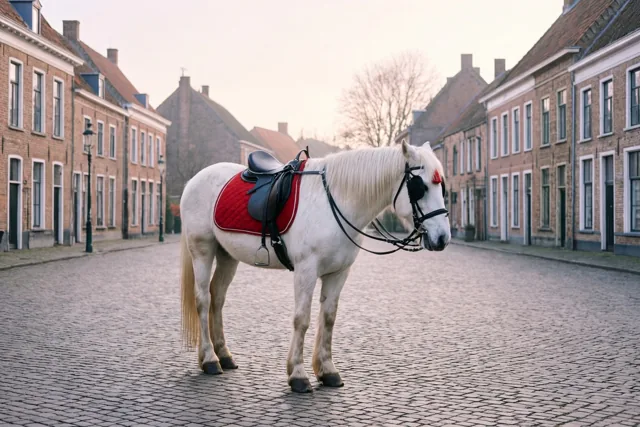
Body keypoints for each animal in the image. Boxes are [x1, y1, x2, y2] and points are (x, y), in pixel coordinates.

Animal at [179, 140, 451, 393]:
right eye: (420, 187)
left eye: (442, 186)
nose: (442, 238)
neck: (335, 201)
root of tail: (195, 179)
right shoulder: (305, 271)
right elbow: (302, 319)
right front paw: (298, 374)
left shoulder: (338, 273)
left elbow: (328, 318)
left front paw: (327, 370)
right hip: (203, 251)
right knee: (202, 299)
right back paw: (209, 359)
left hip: (227, 256)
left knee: (217, 298)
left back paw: (223, 354)